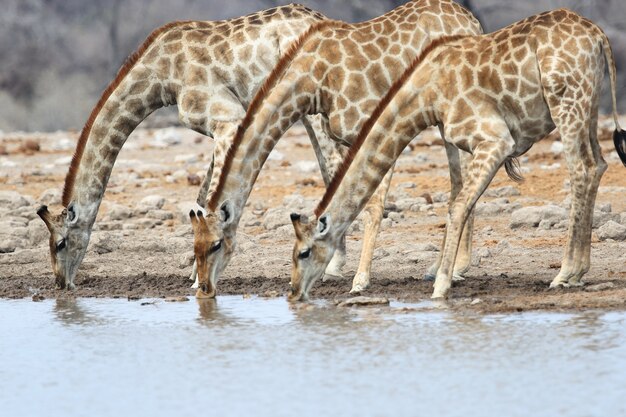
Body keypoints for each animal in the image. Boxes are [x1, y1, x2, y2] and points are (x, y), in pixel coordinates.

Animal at [36, 3, 334, 290]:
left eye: (60, 243)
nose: (60, 283)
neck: (161, 77)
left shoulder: (229, 119)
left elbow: (213, 199)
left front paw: (199, 277)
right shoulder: (225, 127)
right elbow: (202, 199)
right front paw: (195, 272)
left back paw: (333, 271)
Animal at [193, 0, 480, 300]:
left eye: (215, 244)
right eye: (194, 245)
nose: (203, 288)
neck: (312, 81)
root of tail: (471, 20)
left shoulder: (369, 127)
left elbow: (371, 205)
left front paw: (359, 280)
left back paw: (457, 268)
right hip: (442, 119)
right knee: (458, 184)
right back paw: (439, 268)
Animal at [288, 8, 624, 300]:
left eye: (303, 251)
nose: (293, 292)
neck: (425, 93)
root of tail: (598, 36)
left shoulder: (494, 140)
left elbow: (458, 206)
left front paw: (441, 285)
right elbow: (459, 201)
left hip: (567, 103)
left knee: (581, 168)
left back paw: (565, 273)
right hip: (589, 108)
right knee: (598, 165)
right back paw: (578, 272)